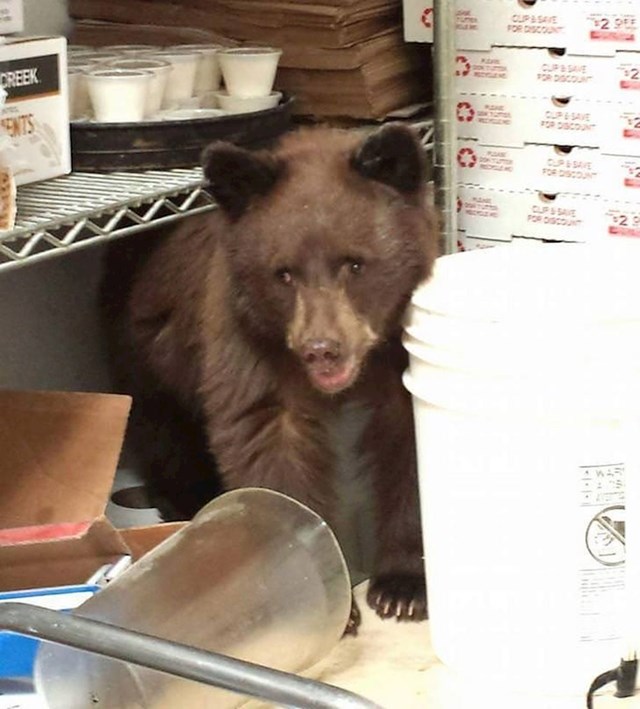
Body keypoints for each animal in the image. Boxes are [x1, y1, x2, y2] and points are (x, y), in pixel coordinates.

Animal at [100, 121, 440, 624]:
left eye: (355, 263)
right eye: (284, 274)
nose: (322, 350)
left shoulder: (400, 347)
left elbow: (406, 442)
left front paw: (403, 588)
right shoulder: (247, 342)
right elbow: (267, 437)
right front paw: (321, 590)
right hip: (150, 355)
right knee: (168, 435)